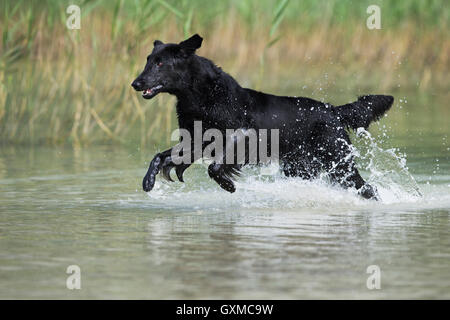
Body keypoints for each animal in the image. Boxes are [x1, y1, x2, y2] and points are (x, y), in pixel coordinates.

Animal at [132, 35, 392, 200]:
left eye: (160, 63)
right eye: (148, 60)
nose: (135, 83)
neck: (202, 95)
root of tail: (333, 110)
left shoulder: (241, 137)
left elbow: (215, 167)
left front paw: (229, 186)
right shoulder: (197, 140)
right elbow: (160, 157)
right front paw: (148, 181)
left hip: (339, 164)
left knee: (368, 189)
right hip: (301, 167)